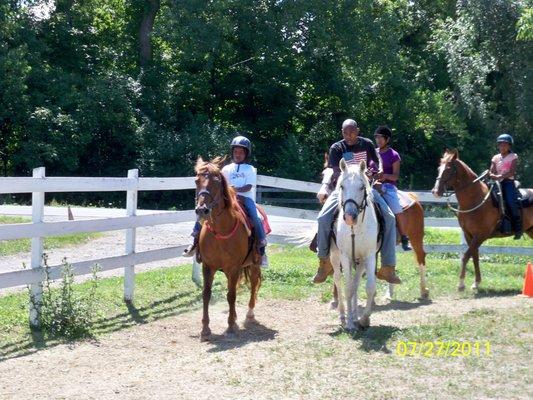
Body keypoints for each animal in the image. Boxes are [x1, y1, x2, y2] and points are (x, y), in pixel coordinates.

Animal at [195, 156, 262, 340]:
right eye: (196, 180)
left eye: (217, 181)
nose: (202, 210)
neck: (221, 230)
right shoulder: (208, 266)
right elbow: (206, 294)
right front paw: (205, 329)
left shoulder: (234, 267)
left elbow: (231, 295)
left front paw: (231, 326)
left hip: (254, 263)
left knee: (254, 283)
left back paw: (250, 314)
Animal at [328, 159, 378, 332]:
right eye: (342, 186)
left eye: (362, 187)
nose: (350, 217)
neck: (356, 228)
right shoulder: (345, 256)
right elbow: (348, 287)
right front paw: (350, 324)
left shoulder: (369, 256)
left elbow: (369, 287)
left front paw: (364, 320)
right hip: (335, 257)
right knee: (338, 279)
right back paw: (343, 316)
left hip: (360, 261)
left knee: (356, 284)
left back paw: (355, 316)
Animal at [430, 149, 528, 290]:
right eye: (439, 168)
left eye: (448, 169)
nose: (435, 191)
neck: (475, 199)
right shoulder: (469, 235)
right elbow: (474, 256)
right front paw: (476, 282)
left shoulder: (481, 235)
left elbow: (466, 256)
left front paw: (461, 283)